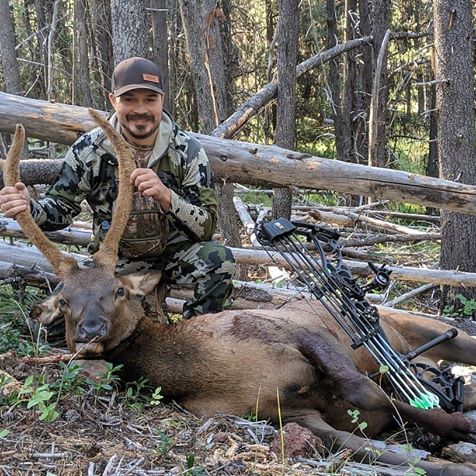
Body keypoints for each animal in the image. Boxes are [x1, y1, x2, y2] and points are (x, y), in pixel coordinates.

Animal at [2, 111, 476, 476]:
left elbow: (370, 391)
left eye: (117, 290)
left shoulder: (298, 334)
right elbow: (373, 446)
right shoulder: (288, 416)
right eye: (64, 301)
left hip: (419, 323)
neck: (197, 368)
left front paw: (449, 425)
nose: (89, 331)